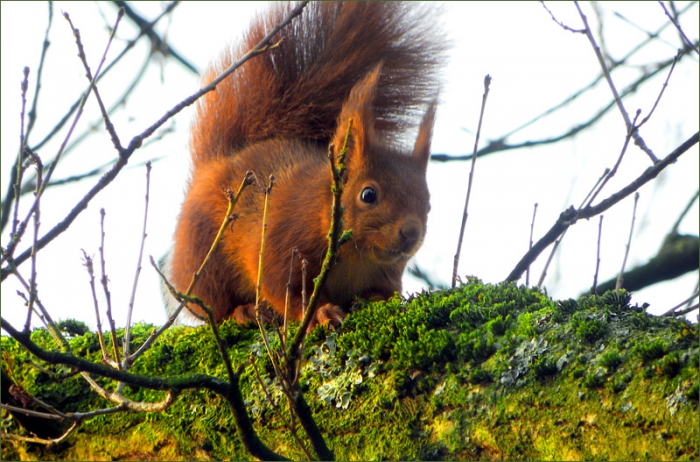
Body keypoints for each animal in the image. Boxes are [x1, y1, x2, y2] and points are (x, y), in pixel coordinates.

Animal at [167, 2, 447, 329]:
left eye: (428, 204)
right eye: (368, 195)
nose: (411, 232)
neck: (357, 257)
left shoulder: (386, 273)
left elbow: (385, 292)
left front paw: (375, 300)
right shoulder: (281, 243)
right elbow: (285, 290)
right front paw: (321, 312)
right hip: (204, 257)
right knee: (215, 305)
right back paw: (243, 310)